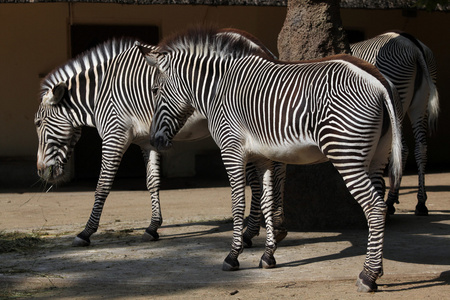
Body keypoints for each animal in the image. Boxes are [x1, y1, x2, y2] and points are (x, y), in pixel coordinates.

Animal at [35, 32, 284, 248]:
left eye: (37, 123)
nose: (41, 172)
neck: (99, 94)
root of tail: (264, 50)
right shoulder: (148, 140)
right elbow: (152, 181)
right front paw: (153, 227)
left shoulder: (115, 135)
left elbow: (102, 185)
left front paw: (86, 232)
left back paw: (256, 231)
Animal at [139, 27, 402, 292]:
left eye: (154, 90)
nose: (154, 140)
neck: (218, 87)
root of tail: (379, 81)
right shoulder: (262, 157)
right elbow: (266, 202)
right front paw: (268, 256)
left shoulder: (231, 150)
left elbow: (238, 204)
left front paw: (233, 256)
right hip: (377, 158)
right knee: (379, 204)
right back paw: (376, 269)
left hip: (347, 154)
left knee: (375, 207)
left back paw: (368, 276)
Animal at [352, 31, 440, 216]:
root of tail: (413, 44)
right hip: (420, 101)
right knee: (420, 147)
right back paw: (420, 203)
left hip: (397, 93)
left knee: (401, 148)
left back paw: (392, 200)